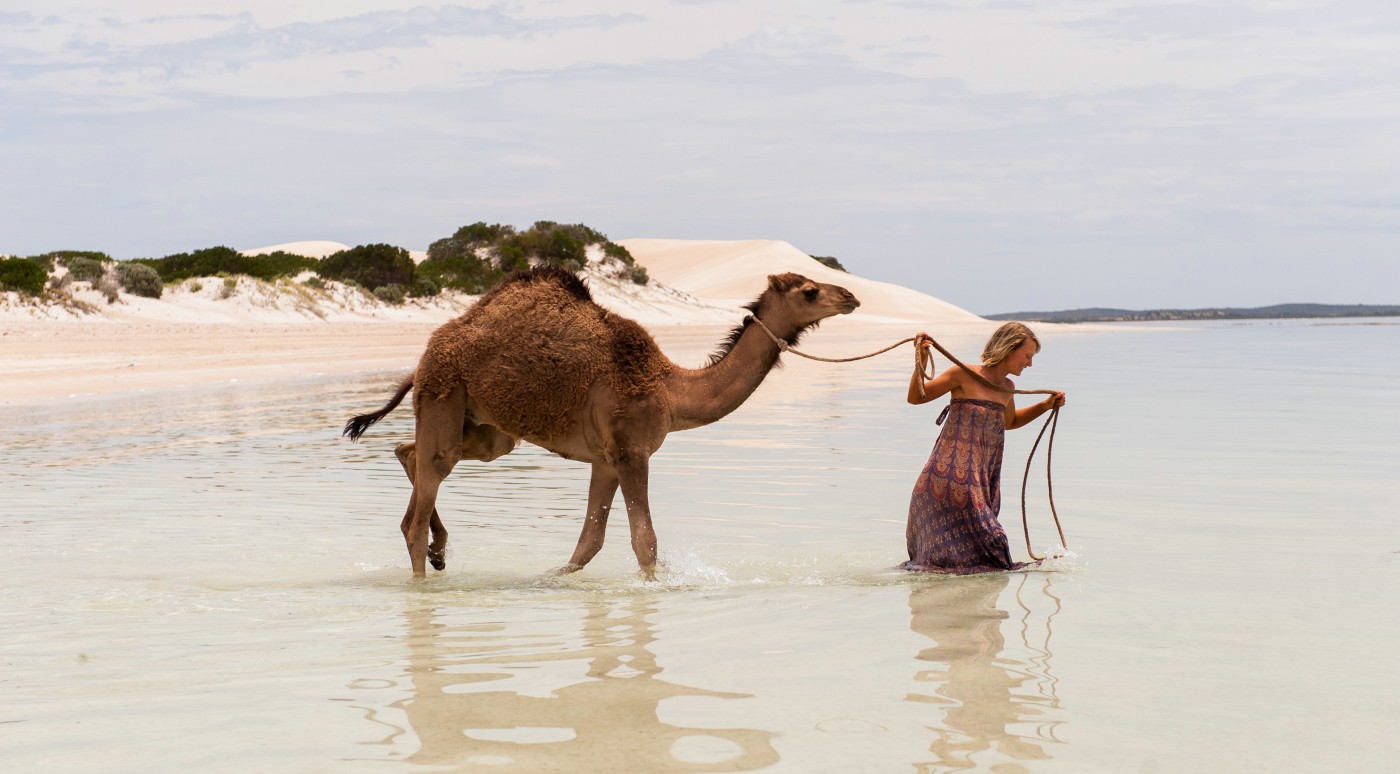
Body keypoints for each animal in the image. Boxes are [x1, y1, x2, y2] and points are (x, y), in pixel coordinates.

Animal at [344, 265, 856, 573]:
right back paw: (424, 574)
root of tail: (422, 359)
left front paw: (551, 578)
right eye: (810, 290)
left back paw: (439, 550)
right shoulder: (631, 451)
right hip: (444, 394)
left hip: (488, 431)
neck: (672, 389)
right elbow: (644, 541)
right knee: (428, 477)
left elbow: (587, 543)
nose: (850, 295)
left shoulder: (606, 459)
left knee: (411, 453)